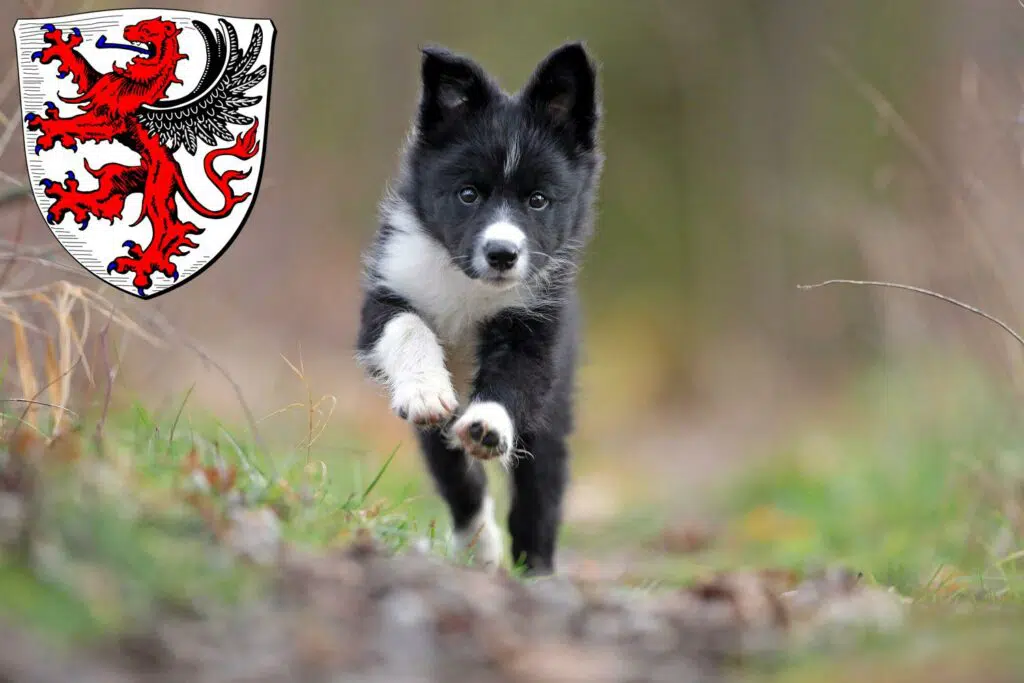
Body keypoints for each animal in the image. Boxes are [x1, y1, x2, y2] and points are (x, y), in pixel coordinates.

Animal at [25, 17, 270, 294]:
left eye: (146, 29)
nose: (127, 29)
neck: (139, 82)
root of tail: (176, 169)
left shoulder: (110, 123)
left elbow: (77, 123)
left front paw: (49, 126)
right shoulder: (98, 87)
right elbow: (82, 69)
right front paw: (61, 46)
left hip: (156, 191)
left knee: (168, 227)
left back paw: (141, 265)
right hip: (126, 176)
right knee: (105, 197)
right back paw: (65, 197)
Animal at [356, 41, 602, 577]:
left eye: (538, 200)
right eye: (468, 194)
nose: (502, 254)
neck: (468, 284)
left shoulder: (536, 327)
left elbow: (515, 378)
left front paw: (488, 424)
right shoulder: (384, 296)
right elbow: (407, 327)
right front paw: (425, 389)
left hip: (555, 414)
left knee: (540, 492)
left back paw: (537, 571)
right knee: (458, 479)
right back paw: (479, 547)